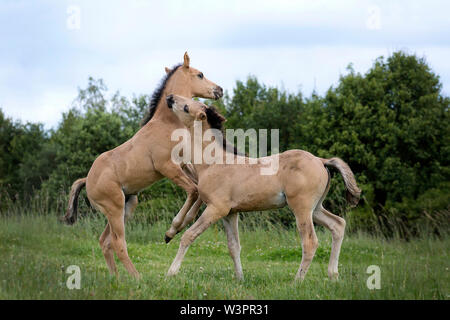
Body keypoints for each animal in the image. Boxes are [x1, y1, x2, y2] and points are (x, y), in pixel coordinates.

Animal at [62, 52, 224, 278]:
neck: (168, 123)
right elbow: (193, 191)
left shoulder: (184, 165)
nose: (219, 90)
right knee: (118, 243)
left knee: (105, 242)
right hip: (114, 208)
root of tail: (88, 180)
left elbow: (199, 190)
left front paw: (175, 230)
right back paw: (137, 278)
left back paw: (117, 278)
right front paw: (172, 231)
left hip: (127, 206)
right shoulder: (167, 167)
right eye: (200, 74)